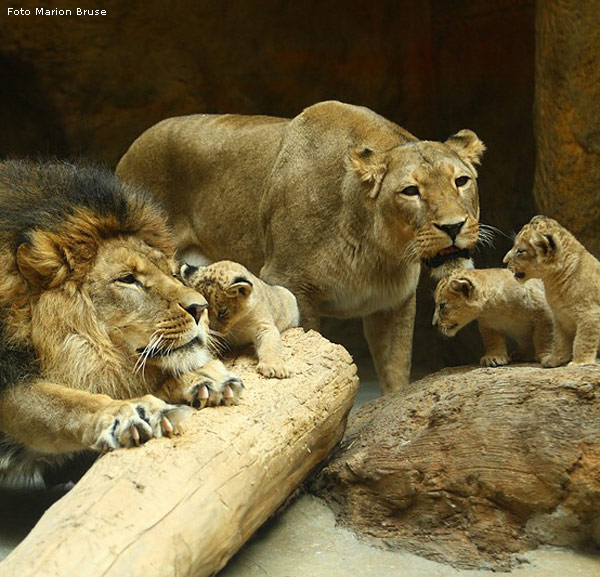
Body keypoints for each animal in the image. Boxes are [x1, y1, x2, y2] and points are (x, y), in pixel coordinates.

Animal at [1, 160, 244, 484]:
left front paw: (204, 377)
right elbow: (64, 401)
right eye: (128, 279)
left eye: (173, 273)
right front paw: (130, 412)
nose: (200, 308)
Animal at [115, 101, 486, 394]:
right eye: (410, 191)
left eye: (461, 181)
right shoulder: (290, 283)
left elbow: (395, 372)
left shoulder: (393, 303)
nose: (453, 227)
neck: (376, 250)